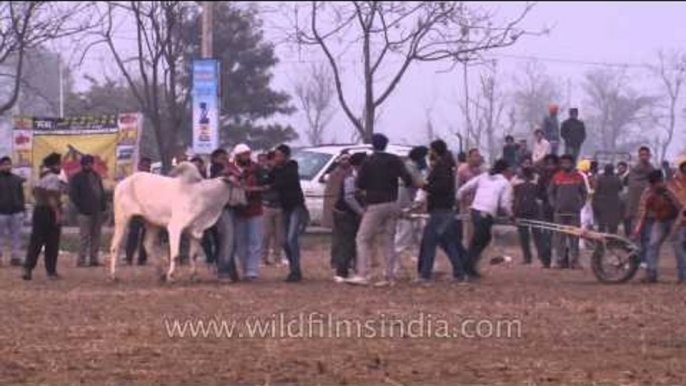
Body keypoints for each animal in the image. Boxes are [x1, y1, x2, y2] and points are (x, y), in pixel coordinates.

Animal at [107, 161, 247, 282]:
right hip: (122, 219)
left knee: (147, 244)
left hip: (152, 223)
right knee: (115, 246)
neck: (202, 195)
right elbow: (175, 254)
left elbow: (193, 255)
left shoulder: (195, 231)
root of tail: (122, 183)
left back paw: (161, 273)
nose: (246, 202)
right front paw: (171, 276)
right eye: (238, 185)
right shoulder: (175, 228)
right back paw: (113, 275)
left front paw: (194, 275)